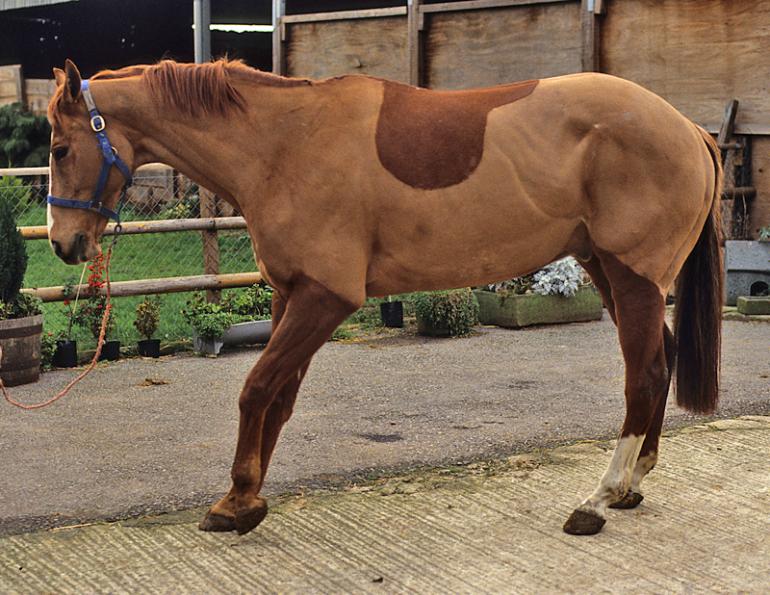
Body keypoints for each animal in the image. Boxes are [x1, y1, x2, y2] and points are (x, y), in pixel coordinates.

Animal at [46, 58, 722, 536]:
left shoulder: (324, 298)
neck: (284, 143)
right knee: (657, 359)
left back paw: (599, 500)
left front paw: (236, 501)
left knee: (645, 374)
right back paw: (632, 485)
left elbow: (257, 389)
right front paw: (247, 496)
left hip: (632, 276)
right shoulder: (290, 295)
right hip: (606, 269)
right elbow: (279, 398)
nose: (63, 243)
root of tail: (689, 129)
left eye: (57, 148)